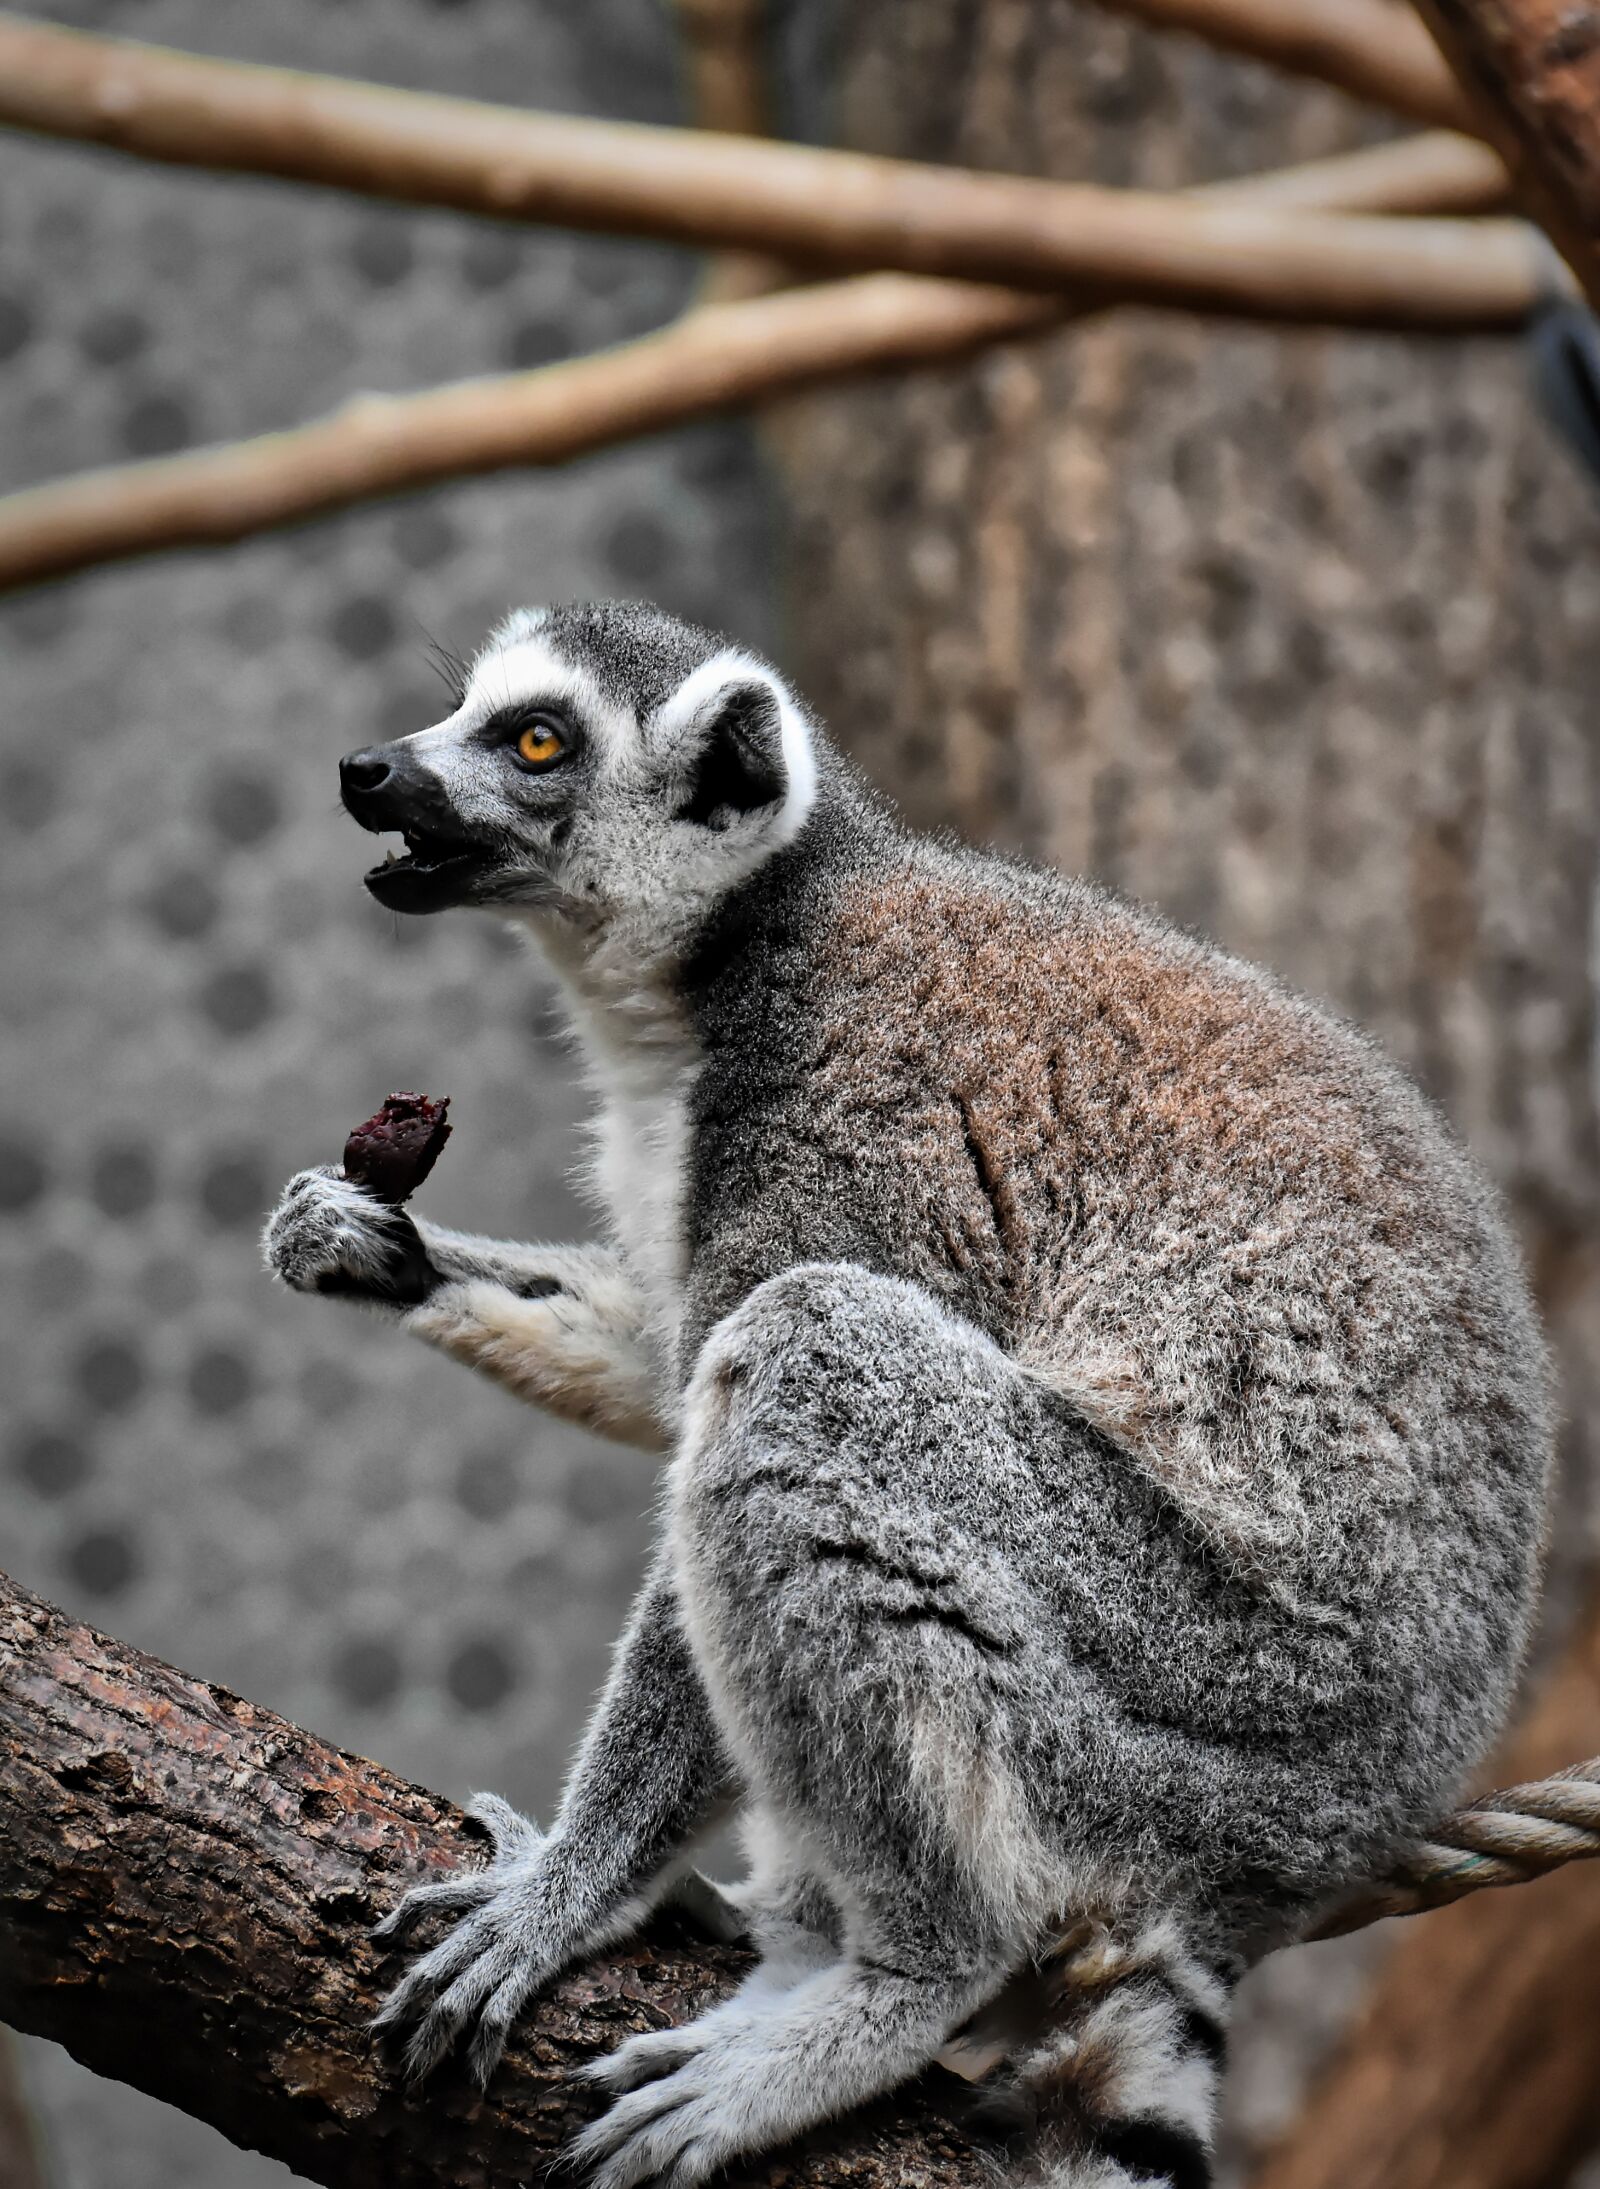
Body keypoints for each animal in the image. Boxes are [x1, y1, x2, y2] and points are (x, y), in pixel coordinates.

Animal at [263, 600, 1553, 2189]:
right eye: (465, 713)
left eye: (537, 740)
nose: (368, 770)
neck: (742, 948)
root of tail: (1355, 1811)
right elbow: (667, 1363)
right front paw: (365, 1243)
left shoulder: (866, 1122)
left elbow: (747, 1354)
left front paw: (567, 1893)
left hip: (1194, 1698)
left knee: (813, 1359)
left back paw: (897, 1981)